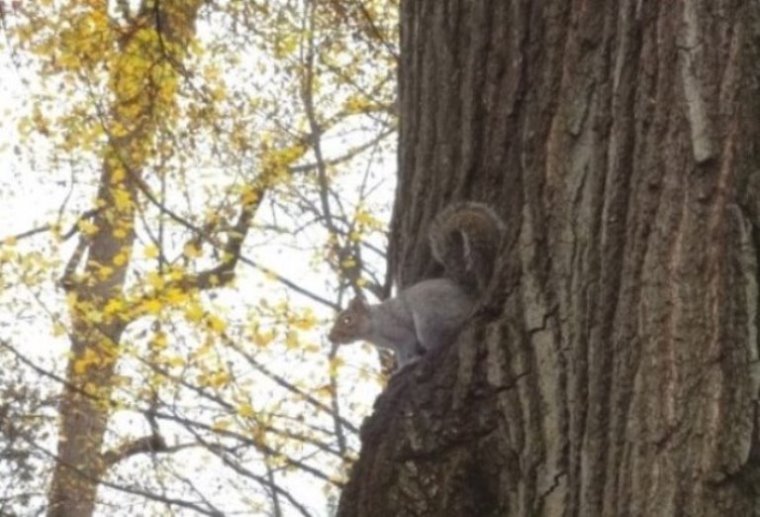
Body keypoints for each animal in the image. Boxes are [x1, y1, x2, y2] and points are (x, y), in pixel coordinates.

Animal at [328, 202, 505, 367]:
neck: (373, 328)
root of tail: (470, 295)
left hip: (430, 319)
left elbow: (408, 347)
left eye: (347, 319)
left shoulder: (401, 333)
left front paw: (407, 364)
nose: (331, 337)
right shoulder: (396, 347)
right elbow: (400, 356)